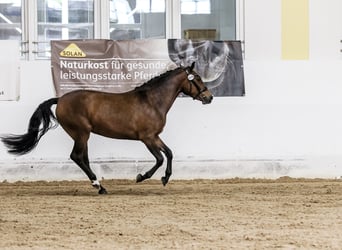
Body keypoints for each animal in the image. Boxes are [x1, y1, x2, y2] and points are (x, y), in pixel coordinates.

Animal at [1, 62, 212, 193]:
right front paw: (141, 177)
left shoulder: (155, 136)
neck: (152, 101)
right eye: (197, 78)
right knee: (76, 156)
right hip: (81, 133)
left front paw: (165, 179)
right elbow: (160, 158)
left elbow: (169, 153)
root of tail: (60, 99)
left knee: (82, 158)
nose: (209, 97)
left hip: (82, 135)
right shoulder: (147, 138)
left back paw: (99, 186)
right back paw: (98, 185)